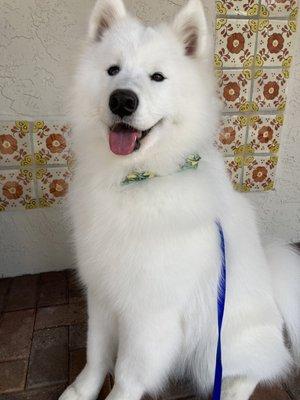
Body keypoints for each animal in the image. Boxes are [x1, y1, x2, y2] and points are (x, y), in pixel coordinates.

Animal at [59, 0, 300, 400]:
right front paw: (79, 392)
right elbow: (95, 356)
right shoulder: (102, 294)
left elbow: (126, 373)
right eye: (113, 70)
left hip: (216, 345)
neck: (136, 181)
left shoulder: (149, 313)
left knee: (259, 369)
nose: (122, 99)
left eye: (157, 77)